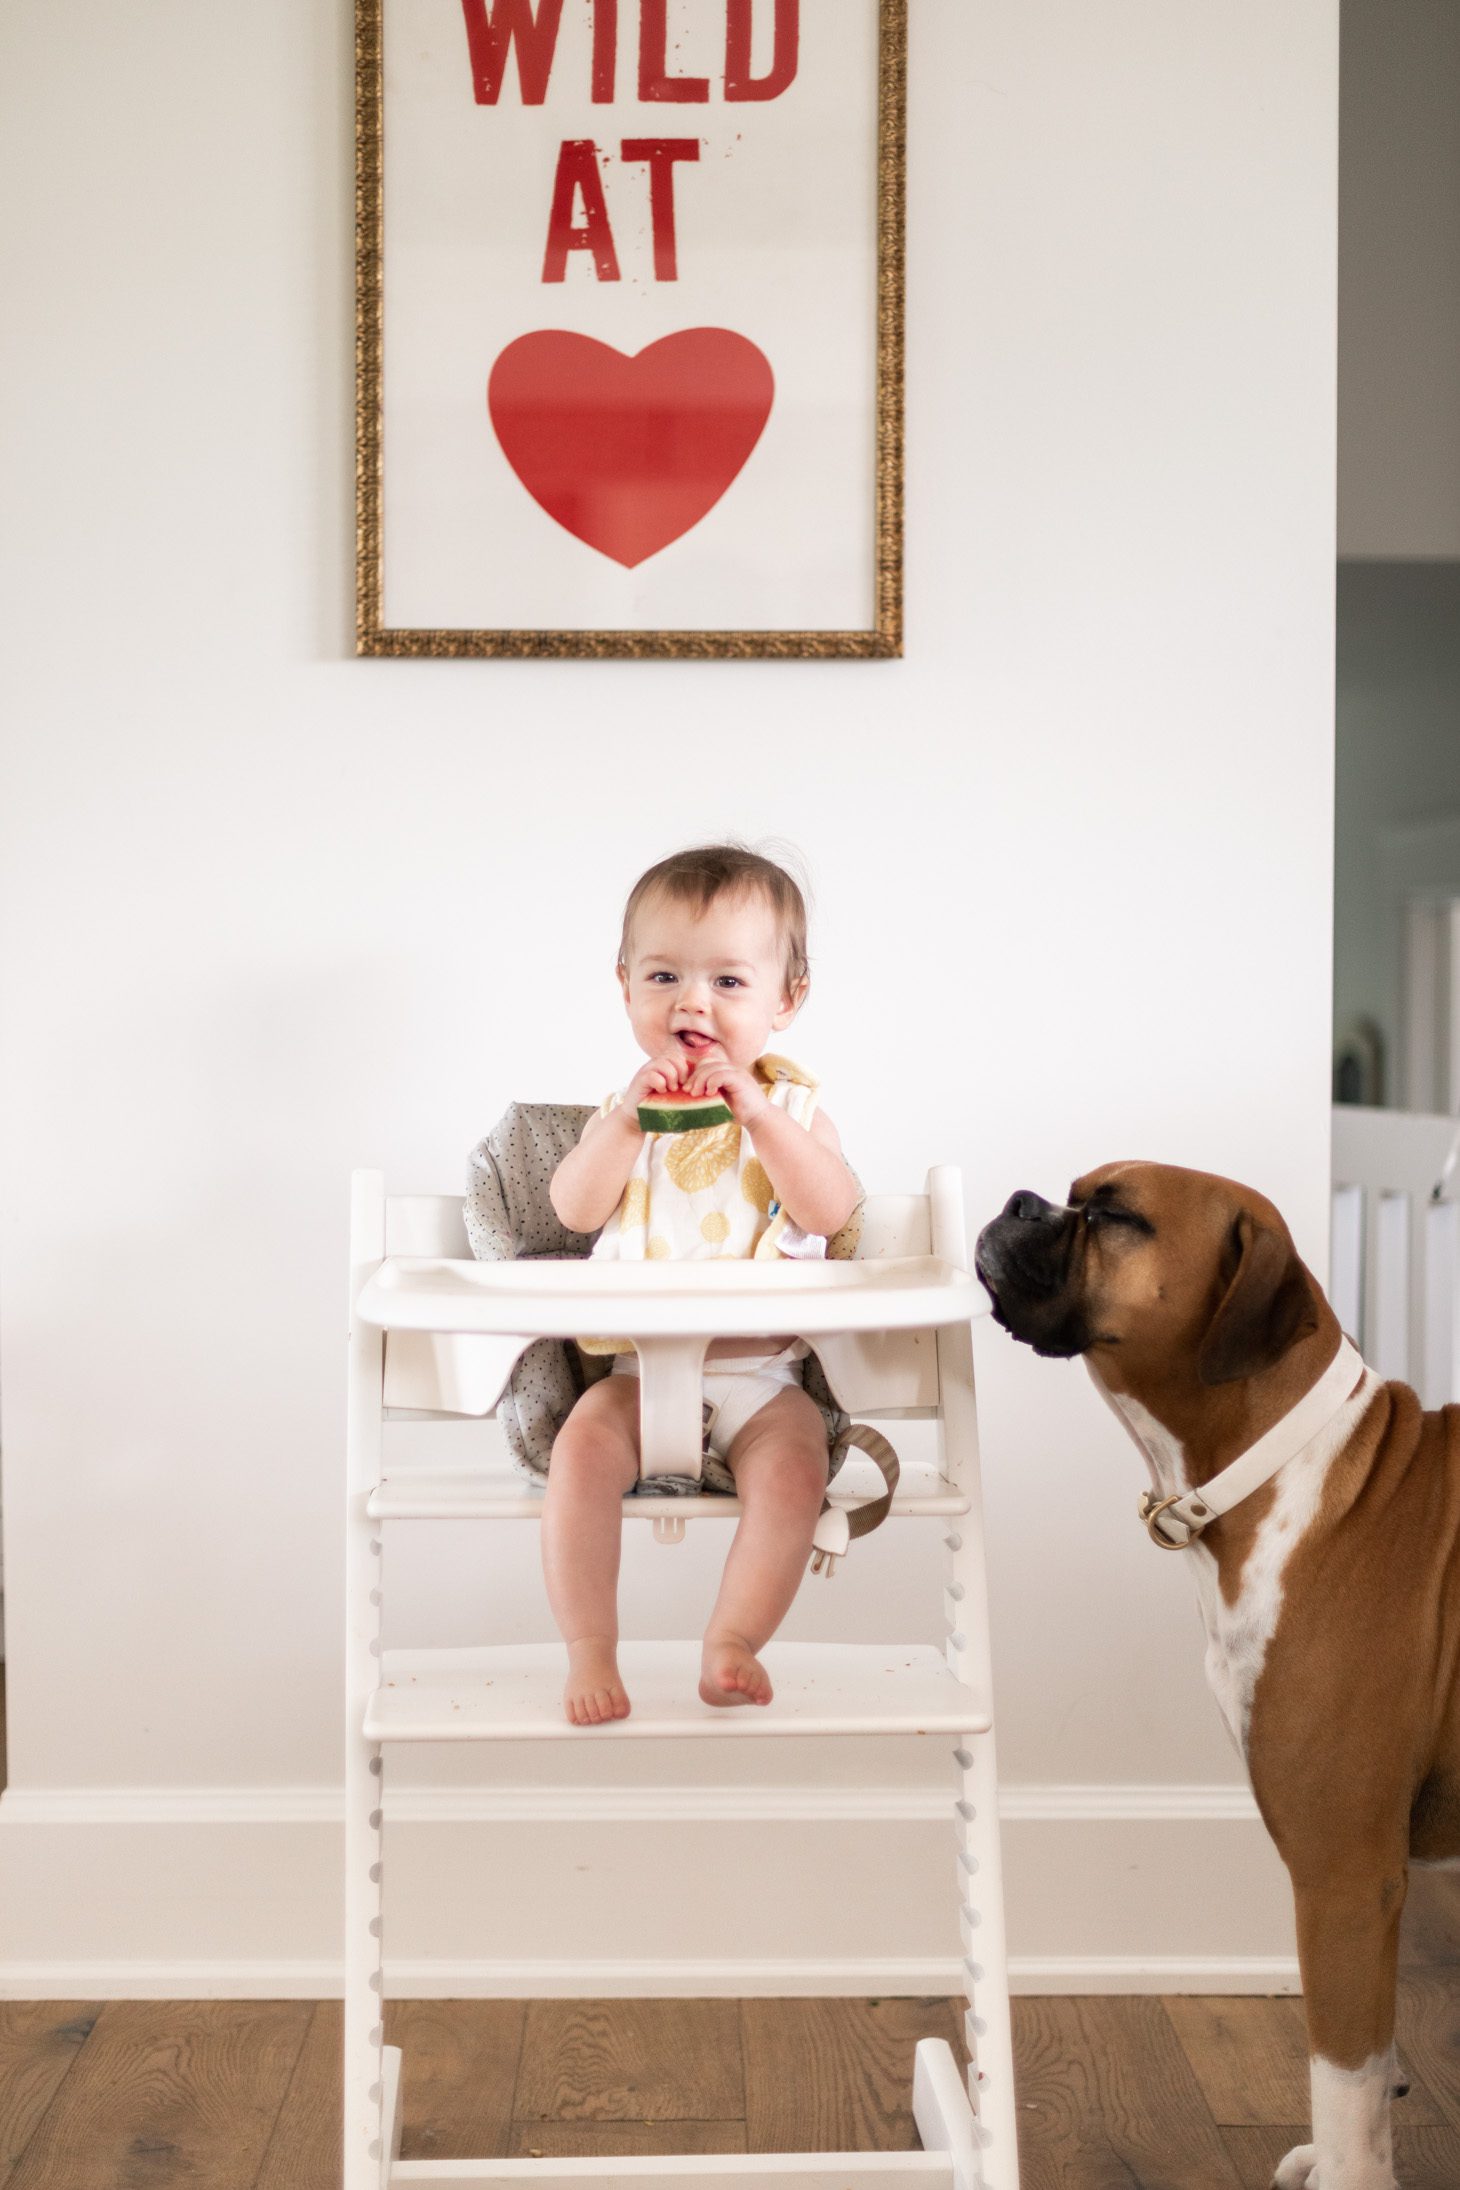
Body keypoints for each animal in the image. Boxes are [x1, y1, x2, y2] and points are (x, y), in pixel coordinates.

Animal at [971, 1165, 1453, 2190]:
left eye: (1116, 1214)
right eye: (1071, 1193)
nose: (1023, 1200)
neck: (1286, 1470)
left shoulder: (1344, 1874)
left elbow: (1346, 2076)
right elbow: (1374, 2069)